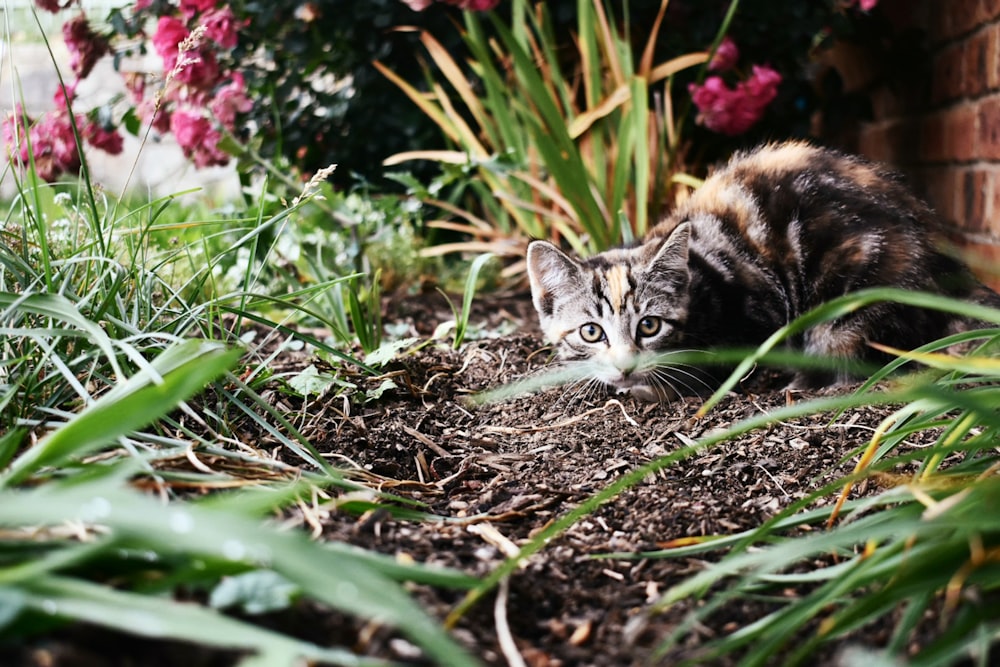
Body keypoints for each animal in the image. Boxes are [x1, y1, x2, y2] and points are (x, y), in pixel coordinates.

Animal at [528, 142, 996, 402]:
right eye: (591, 332)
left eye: (649, 326)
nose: (625, 368)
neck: (698, 280)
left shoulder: (757, 311)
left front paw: (659, 387)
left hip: (855, 292)